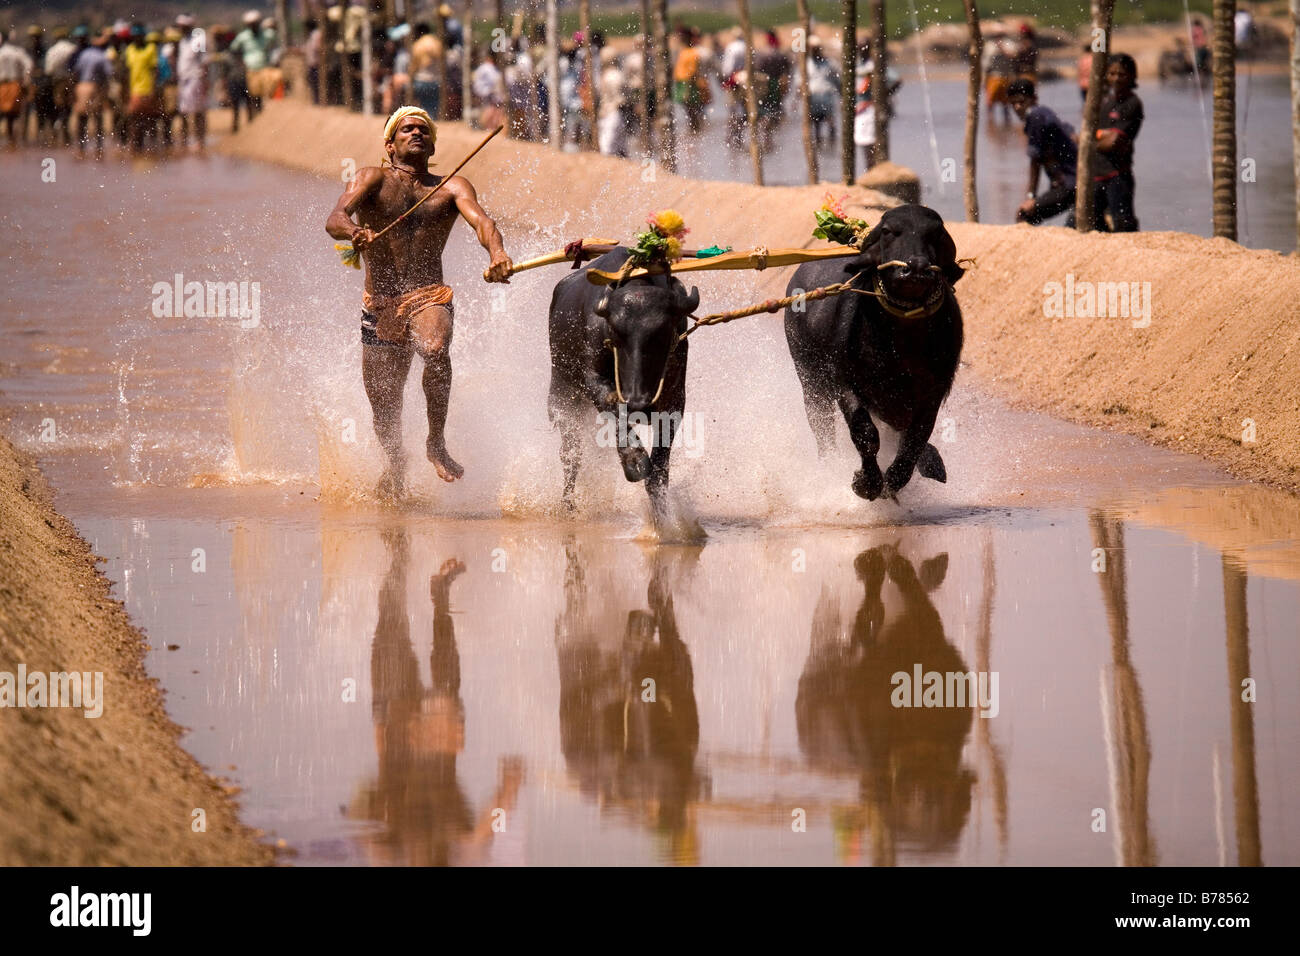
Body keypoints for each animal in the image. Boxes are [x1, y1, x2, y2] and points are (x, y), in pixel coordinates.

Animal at [548, 248, 702, 515]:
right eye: (616, 334)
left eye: (661, 334)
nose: (637, 402)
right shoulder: (595, 380)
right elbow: (613, 408)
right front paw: (634, 461)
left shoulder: (675, 398)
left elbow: (659, 467)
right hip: (562, 392)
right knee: (570, 454)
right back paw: (567, 505)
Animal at [780, 201, 967, 502]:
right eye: (889, 231)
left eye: (936, 233)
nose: (916, 268)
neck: (903, 340)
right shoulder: (846, 385)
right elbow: (866, 435)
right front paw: (866, 483)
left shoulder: (932, 394)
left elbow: (915, 441)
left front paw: (895, 480)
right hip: (812, 382)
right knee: (822, 427)